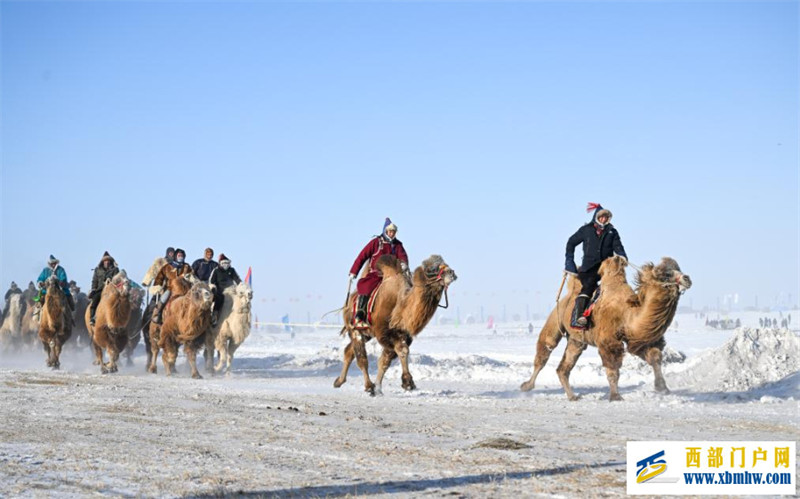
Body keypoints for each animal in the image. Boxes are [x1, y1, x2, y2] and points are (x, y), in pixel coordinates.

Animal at [332, 256, 456, 396]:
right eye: (432, 269)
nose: (451, 272)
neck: (399, 305)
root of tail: (348, 302)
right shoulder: (384, 333)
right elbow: (400, 351)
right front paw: (408, 383)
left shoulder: (402, 334)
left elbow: (386, 360)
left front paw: (380, 388)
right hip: (354, 328)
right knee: (361, 358)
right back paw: (368, 386)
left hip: (366, 333)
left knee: (349, 351)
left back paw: (339, 381)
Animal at [520, 258, 692, 402]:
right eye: (666, 274)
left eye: (678, 269)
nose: (687, 278)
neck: (627, 313)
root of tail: (568, 295)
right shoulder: (608, 341)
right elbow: (613, 370)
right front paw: (616, 396)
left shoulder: (635, 339)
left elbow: (654, 357)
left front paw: (663, 388)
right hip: (555, 320)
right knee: (544, 351)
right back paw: (526, 386)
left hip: (576, 340)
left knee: (565, 365)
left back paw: (572, 396)